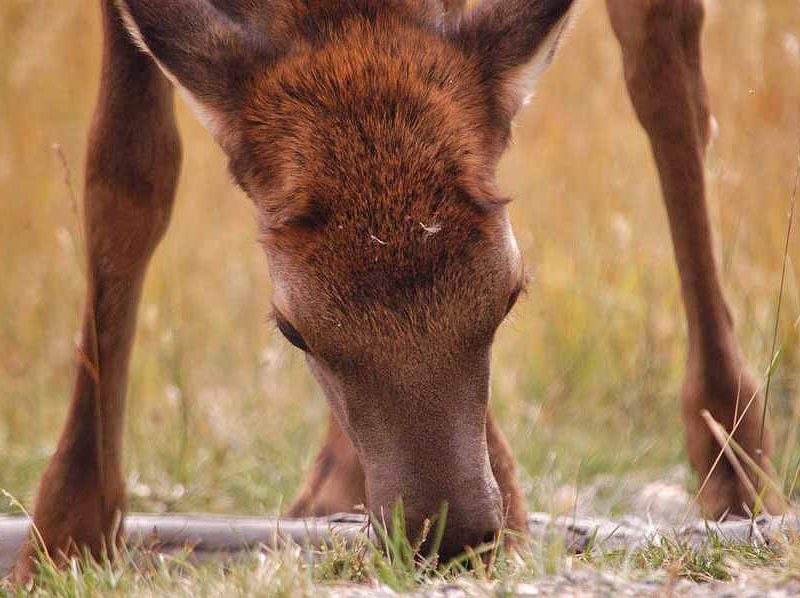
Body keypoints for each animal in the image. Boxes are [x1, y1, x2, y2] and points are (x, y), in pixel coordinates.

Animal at [12, 0, 784, 584]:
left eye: (510, 295)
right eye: (290, 328)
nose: (449, 537)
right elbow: (126, 169)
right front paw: (63, 536)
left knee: (667, 75)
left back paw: (735, 463)